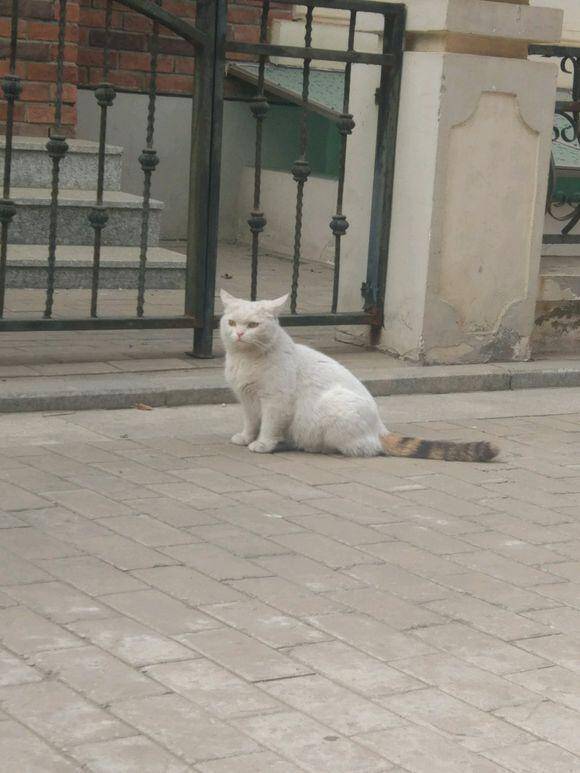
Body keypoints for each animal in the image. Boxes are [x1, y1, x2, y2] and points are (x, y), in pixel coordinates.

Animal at [220, 286, 500, 462]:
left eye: (253, 325)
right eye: (232, 323)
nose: (239, 334)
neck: (246, 360)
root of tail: (380, 429)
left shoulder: (276, 401)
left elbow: (268, 425)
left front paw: (263, 443)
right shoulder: (248, 400)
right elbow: (251, 422)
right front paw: (246, 437)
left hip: (334, 407)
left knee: (362, 449)